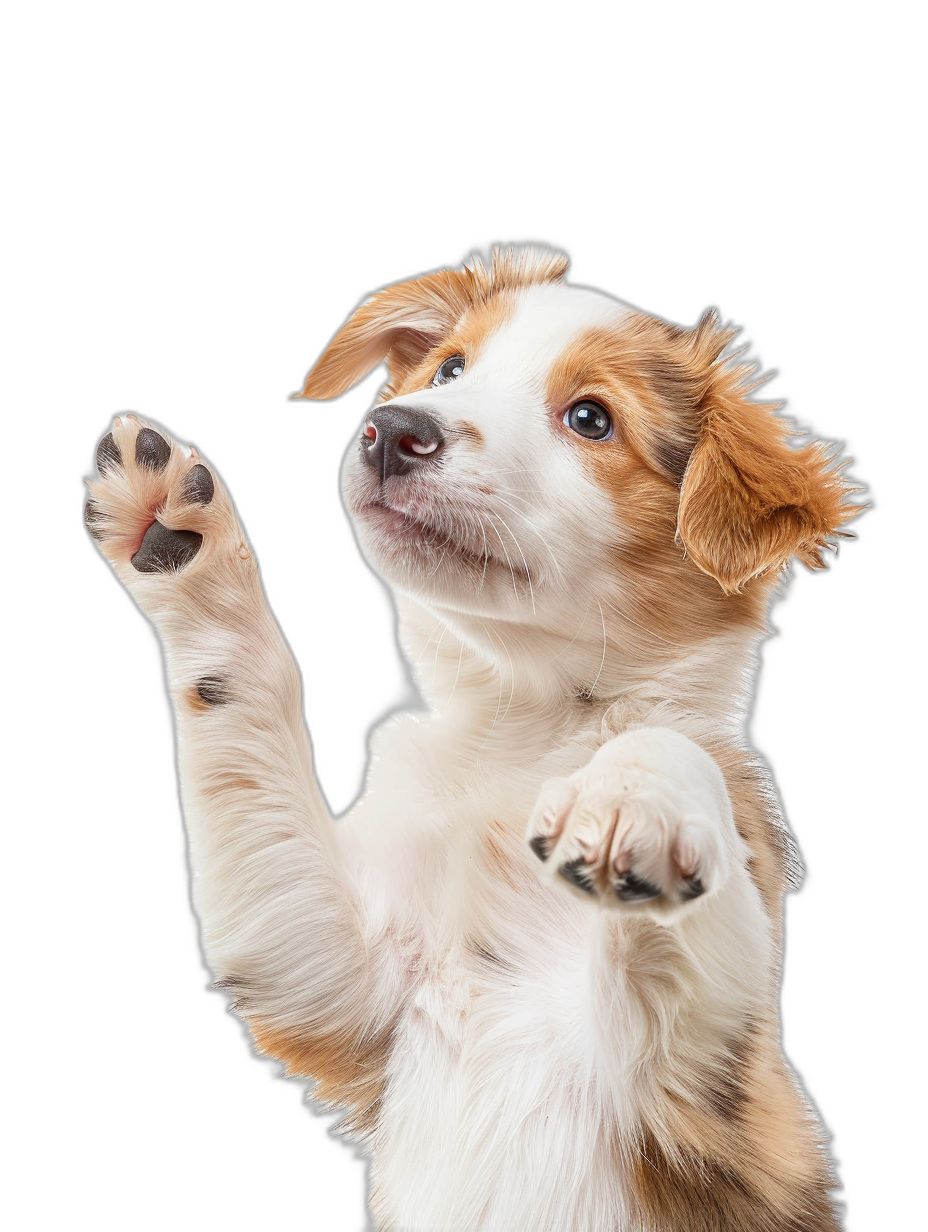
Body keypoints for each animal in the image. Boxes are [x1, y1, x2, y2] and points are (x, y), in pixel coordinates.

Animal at [85, 245, 862, 1227]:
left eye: (590, 418)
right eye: (450, 370)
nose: (392, 428)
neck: (525, 723)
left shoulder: (723, 1100)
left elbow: (674, 754)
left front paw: (629, 800)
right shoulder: (331, 978)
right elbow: (251, 707)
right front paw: (182, 540)